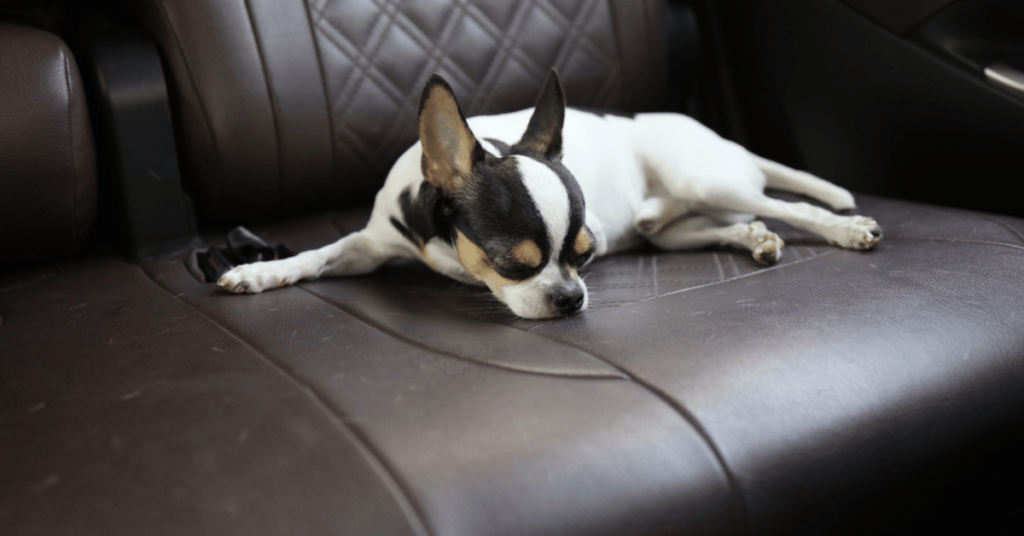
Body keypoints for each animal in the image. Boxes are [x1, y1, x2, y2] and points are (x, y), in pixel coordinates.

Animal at [216, 68, 880, 317]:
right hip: (670, 233)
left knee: (789, 203)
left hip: (702, 176)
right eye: (514, 263)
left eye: (586, 255)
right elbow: (316, 255)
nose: (572, 297)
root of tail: (721, 140)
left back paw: (843, 228)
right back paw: (754, 239)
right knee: (722, 222)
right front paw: (258, 271)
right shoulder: (369, 244)